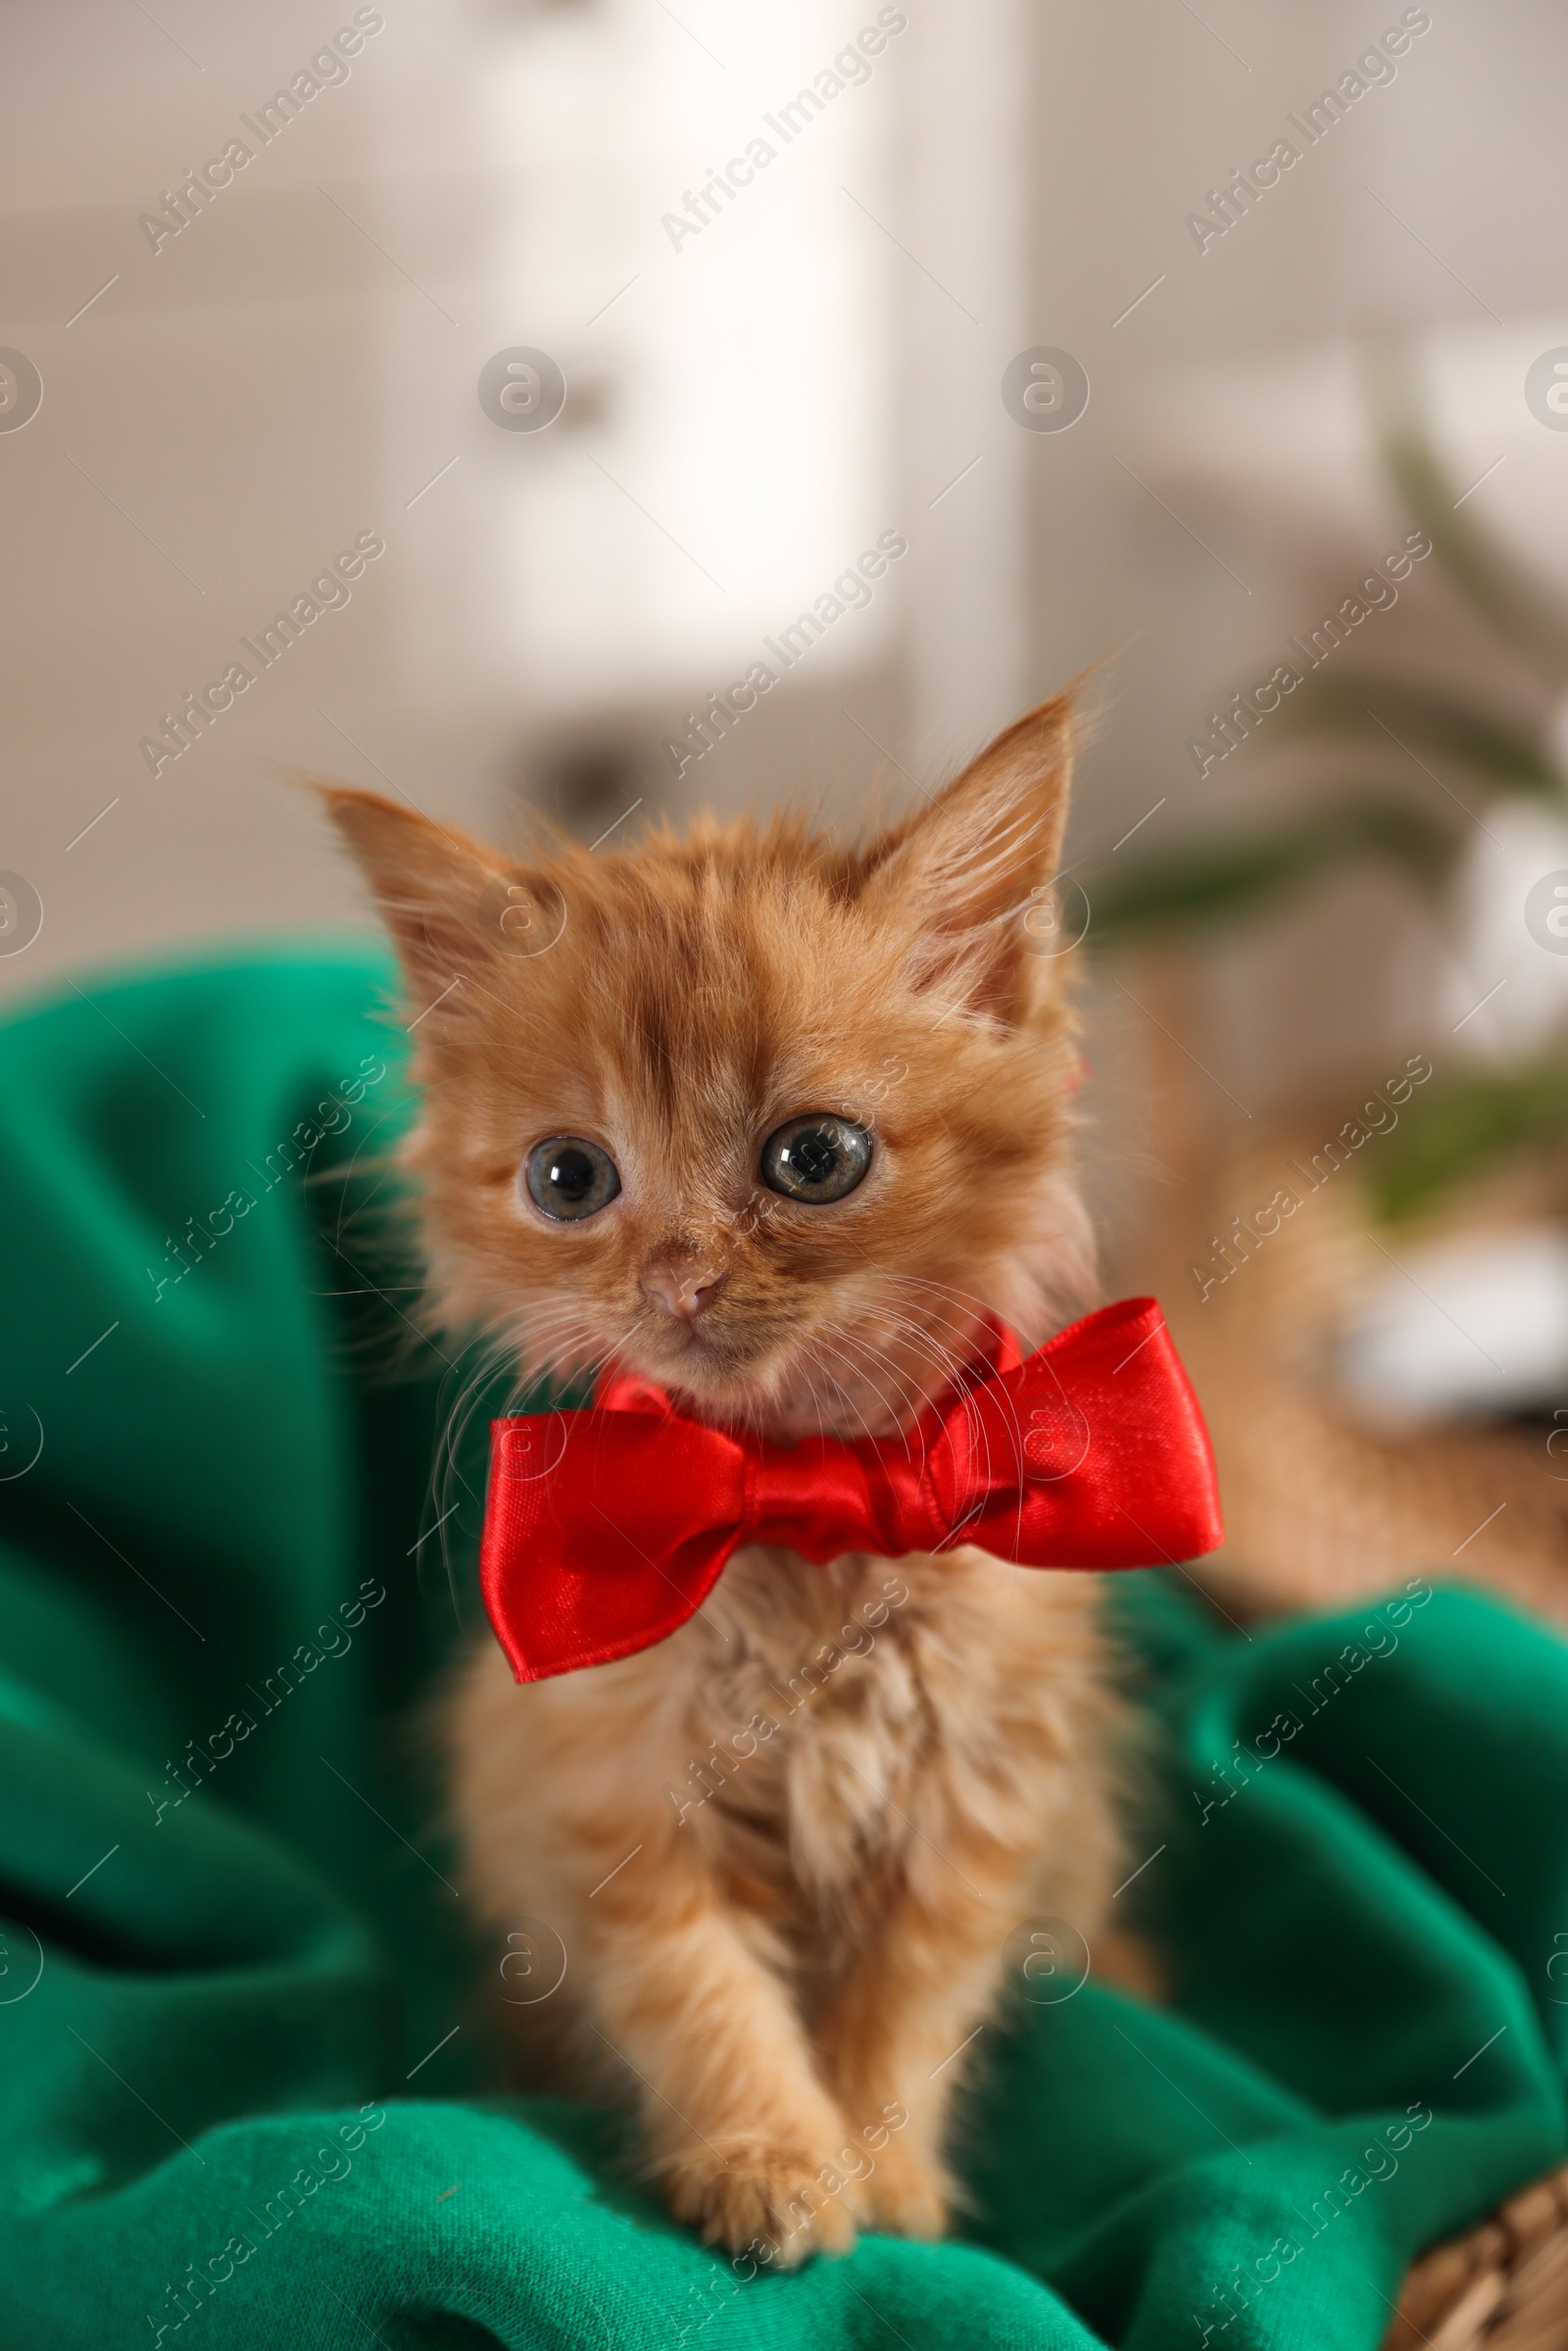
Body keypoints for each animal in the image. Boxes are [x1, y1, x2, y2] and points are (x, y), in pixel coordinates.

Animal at [328, 691, 1128, 2257]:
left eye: (814, 1155)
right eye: (569, 1178)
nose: (678, 1277)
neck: (799, 1513)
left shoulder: (978, 1802)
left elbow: (910, 2002)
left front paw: (885, 2173)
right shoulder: (619, 1790)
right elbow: (700, 1998)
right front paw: (770, 2159)